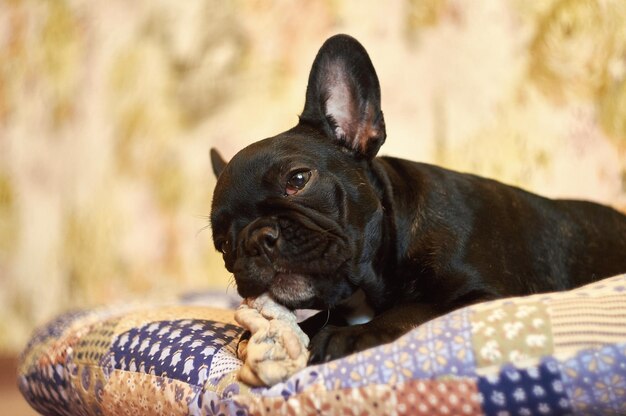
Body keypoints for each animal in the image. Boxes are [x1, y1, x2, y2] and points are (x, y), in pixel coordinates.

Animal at [210, 33, 624, 364]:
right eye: (223, 243)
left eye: (297, 179)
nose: (256, 239)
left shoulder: (483, 296)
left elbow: (418, 309)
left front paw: (352, 334)